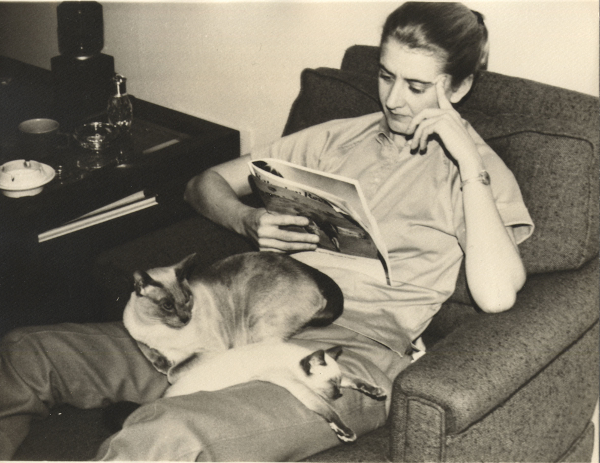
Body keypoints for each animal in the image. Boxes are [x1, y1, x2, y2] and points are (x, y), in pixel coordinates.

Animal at [123, 254, 342, 376]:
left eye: (187, 299)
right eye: (167, 305)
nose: (185, 318)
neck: (158, 328)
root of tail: (312, 276)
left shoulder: (208, 350)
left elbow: (172, 373)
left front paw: (169, 365)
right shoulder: (138, 337)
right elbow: (148, 351)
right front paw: (162, 361)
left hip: (257, 326)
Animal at [164, 342, 386, 444]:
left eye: (338, 385)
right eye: (332, 385)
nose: (339, 395)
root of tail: (164, 396)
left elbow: (355, 379)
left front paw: (376, 391)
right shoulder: (297, 386)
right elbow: (328, 410)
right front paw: (345, 431)